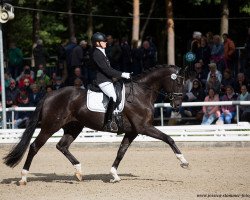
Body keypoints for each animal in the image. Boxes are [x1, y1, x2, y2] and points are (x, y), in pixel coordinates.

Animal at [2, 65, 188, 185]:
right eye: (179, 82)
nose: (177, 105)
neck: (141, 93)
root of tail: (49, 95)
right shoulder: (144, 127)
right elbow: (169, 138)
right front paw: (183, 161)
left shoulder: (133, 131)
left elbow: (121, 151)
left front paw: (114, 175)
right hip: (50, 126)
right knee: (35, 146)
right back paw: (23, 178)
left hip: (74, 127)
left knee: (62, 146)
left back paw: (78, 172)